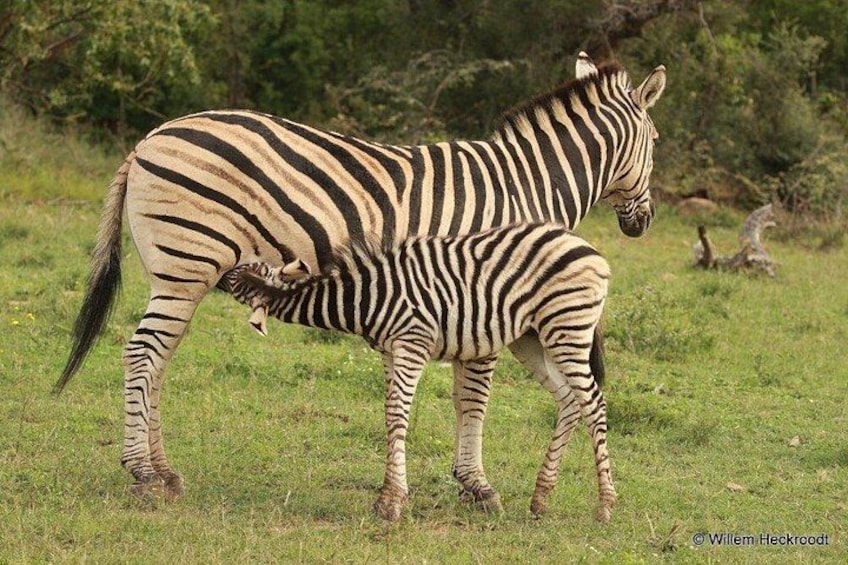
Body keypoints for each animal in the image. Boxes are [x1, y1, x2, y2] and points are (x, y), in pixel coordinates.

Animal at [225, 222, 613, 522]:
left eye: (242, 275)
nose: (226, 266)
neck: (366, 297)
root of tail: (584, 245)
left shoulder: (412, 342)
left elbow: (398, 415)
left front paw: (391, 503)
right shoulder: (389, 351)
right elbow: (388, 414)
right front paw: (389, 496)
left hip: (567, 325)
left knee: (594, 403)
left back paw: (605, 505)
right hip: (531, 338)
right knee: (569, 399)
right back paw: (541, 499)